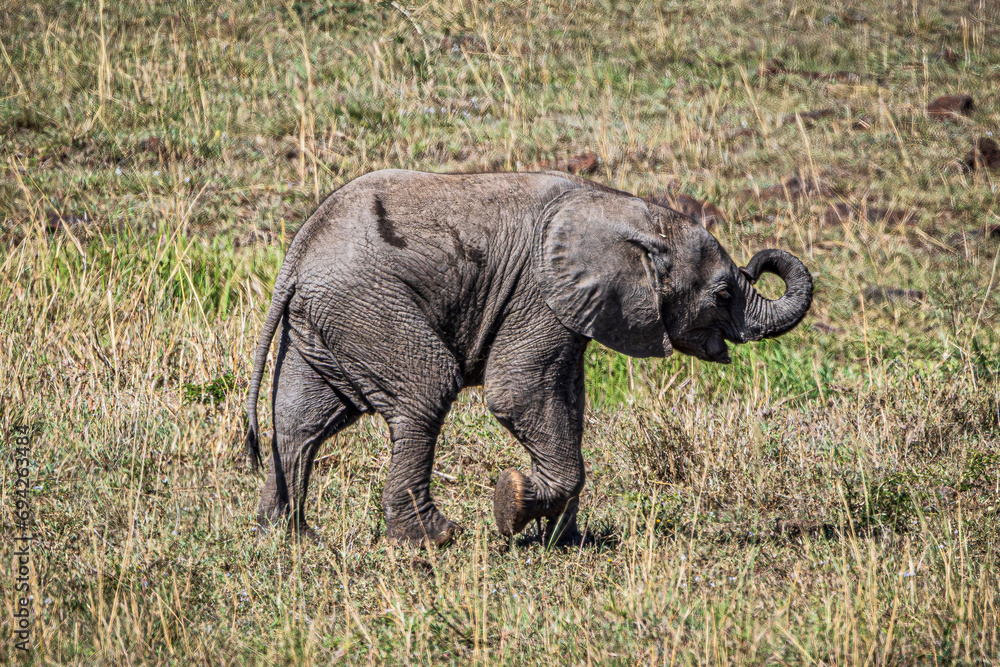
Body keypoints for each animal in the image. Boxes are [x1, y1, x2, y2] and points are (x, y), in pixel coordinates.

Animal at [244, 169, 813, 547]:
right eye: (722, 294)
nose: (760, 260)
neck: (630, 210)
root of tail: (299, 250)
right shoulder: (538, 293)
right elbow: (518, 394)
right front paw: (511, 506)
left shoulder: (575, 307)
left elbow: (569, 407)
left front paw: (563, 540)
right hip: (367, 306)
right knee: (426, 391)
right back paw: (434, 539)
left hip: (327, 319)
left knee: (301, 420)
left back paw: (291, 537)